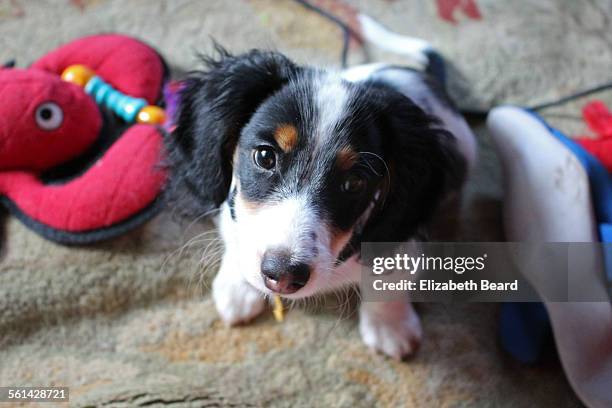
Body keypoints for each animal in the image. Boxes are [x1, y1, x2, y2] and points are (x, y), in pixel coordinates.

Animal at [167, 23, 478, 360]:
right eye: (265, 156)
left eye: (353, 183)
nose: (283, 276)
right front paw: (237, 288)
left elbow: (386, 283)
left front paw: (390, 327)